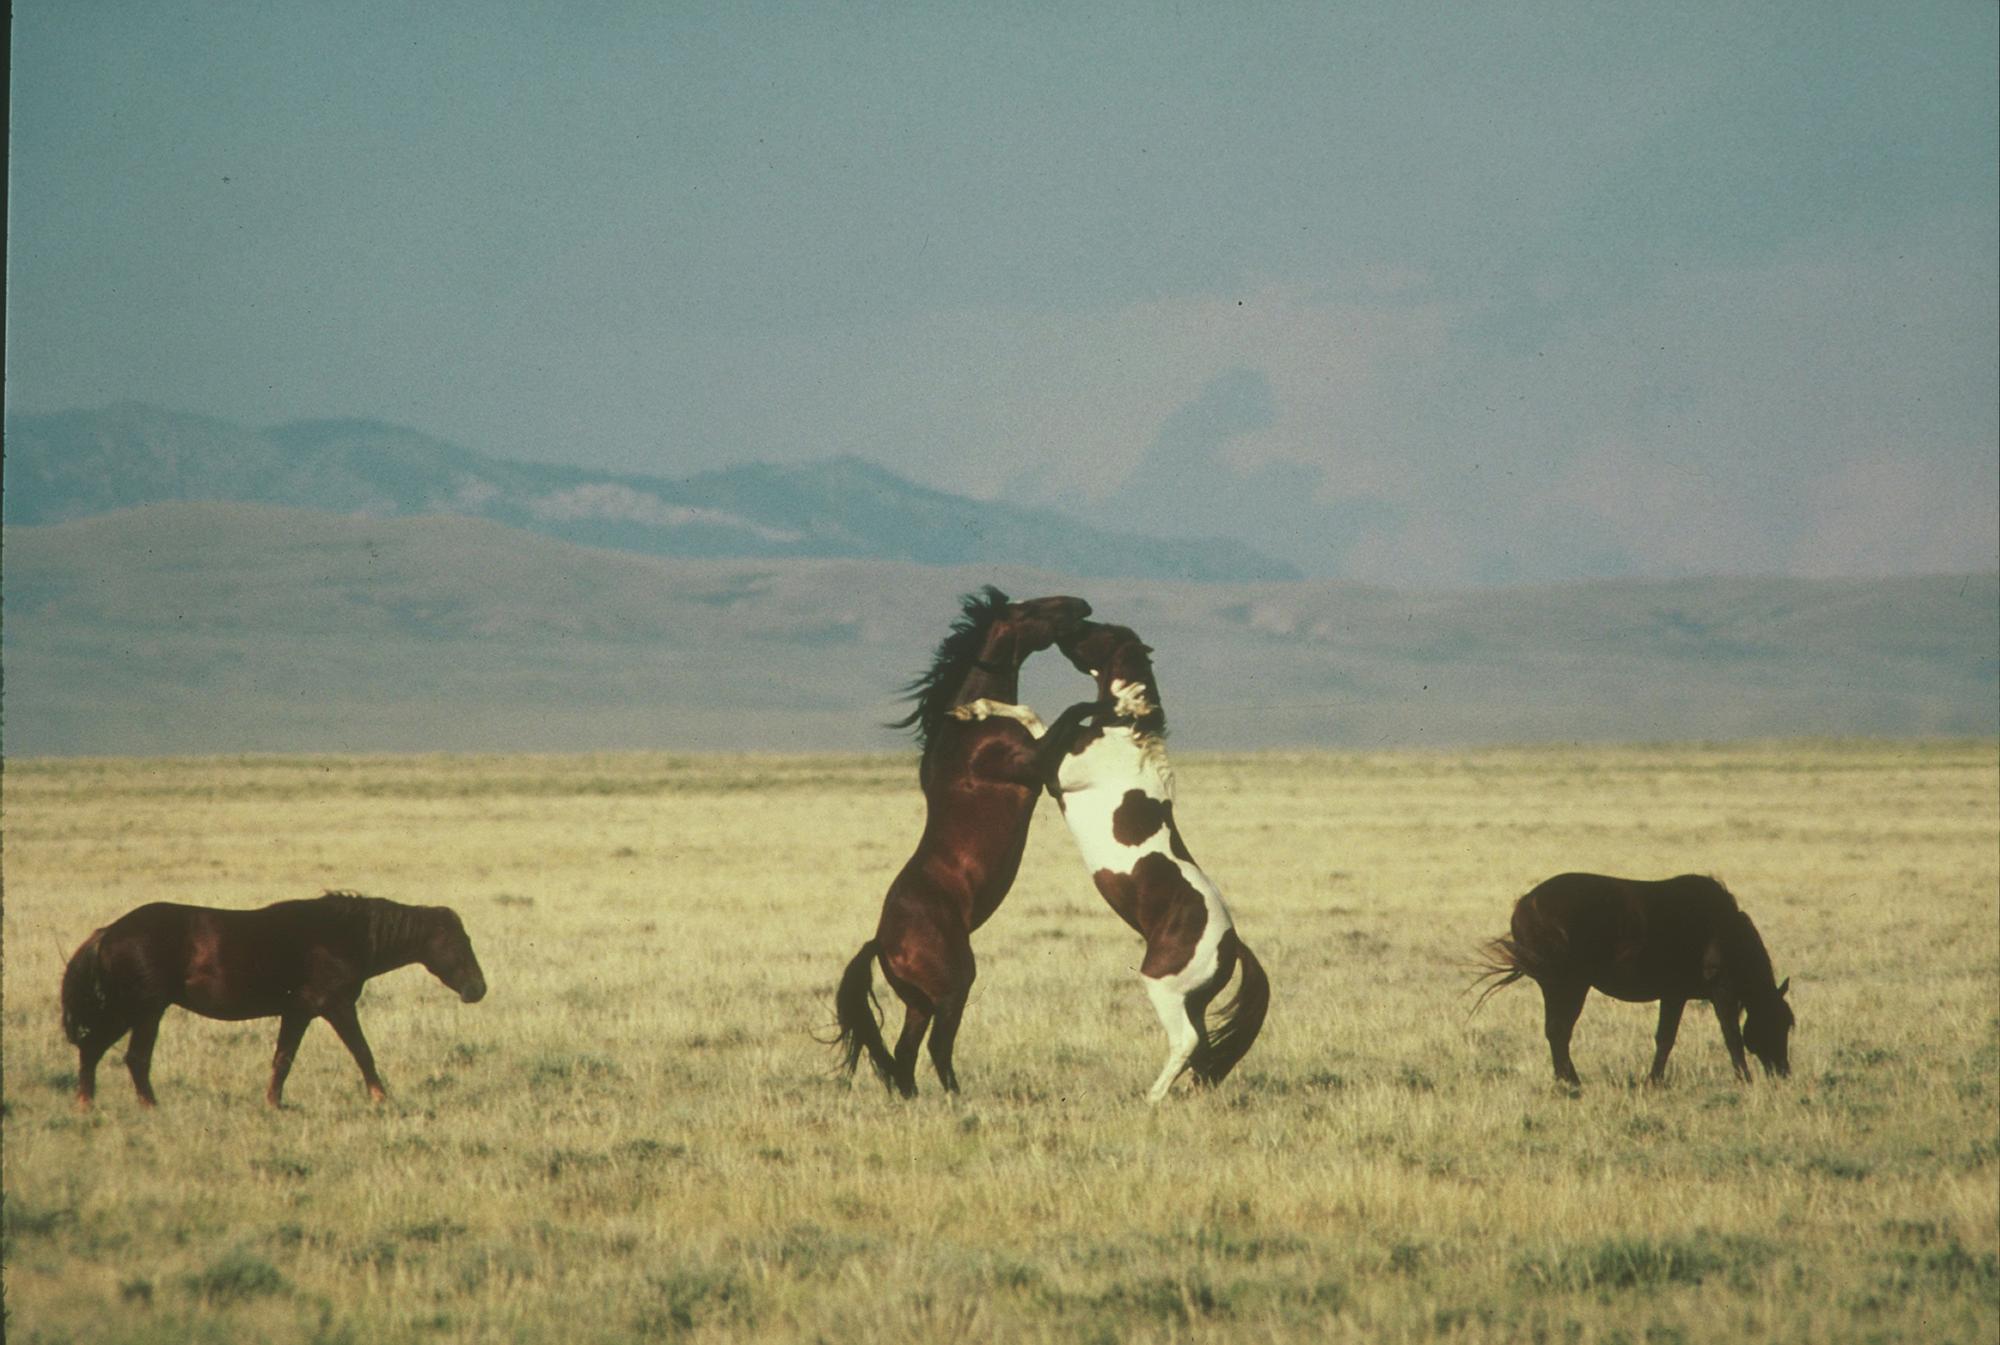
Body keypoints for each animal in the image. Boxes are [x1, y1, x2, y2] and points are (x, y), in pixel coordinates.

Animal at [60, 890, 487, 1108]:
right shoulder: (336, 1007)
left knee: (95, 1049)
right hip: (143, 1010)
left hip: (129, 1011)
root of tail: (108, 933)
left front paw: (274, 1104)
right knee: (130, 1057)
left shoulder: (297, 1013)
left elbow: (283, 1060)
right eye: (458, 942)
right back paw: (145, 1107)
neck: (342, 935)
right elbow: (363, 1053)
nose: (478, 989)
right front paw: (381, 1099)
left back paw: (88, 1106)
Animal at [832, 588, 1092, 1098]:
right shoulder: (1033, 764)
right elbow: (1064, 716)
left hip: (919, 1002)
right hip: (953, 987)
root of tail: (880, 943)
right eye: (1031, 609)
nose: (1082, 605)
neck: (965, 737)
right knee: (935, 1048)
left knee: (905, 1055)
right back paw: (957, 1098)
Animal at [954, 619, 1270, 1102]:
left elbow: (1042, 719)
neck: (1124, 734)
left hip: (1163, 985)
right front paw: (973, 709)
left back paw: (1151, 1098)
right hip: (1191, 999)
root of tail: (1231, 944)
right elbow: (1030, 714)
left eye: (1101, 631)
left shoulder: (1054, 772)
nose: (1066, 627)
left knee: (1186, 1041)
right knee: (1200, 1047)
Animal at [1473, 872, 1793, 1087]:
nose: (1784, 1072)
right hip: (1566, 985)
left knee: (1557, 1031)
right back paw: (1571, 1083)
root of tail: (1524, 905)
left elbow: (1665, 1038)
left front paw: (1654, 1080)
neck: (1725, 930)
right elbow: (1731, 1036)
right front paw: (1745, 1079)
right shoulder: (1721, 991)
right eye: (1778, 1023)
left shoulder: (1674, 995)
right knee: (1558, 1030)